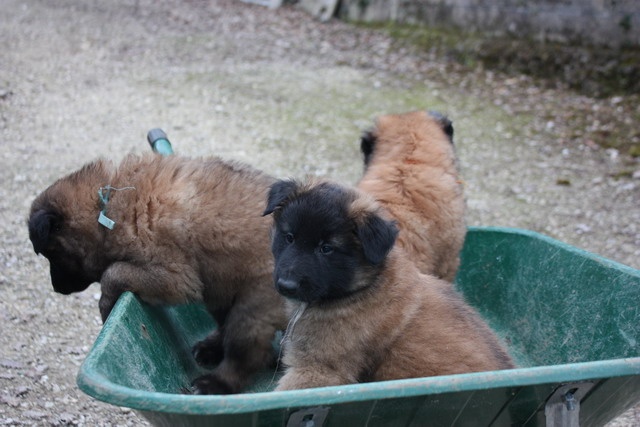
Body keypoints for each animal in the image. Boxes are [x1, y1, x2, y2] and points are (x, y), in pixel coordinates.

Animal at [28, 153, 288, 394]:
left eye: (52, 255)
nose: (56, 288)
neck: (106, 206)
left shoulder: (174, 276)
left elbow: (113, 272)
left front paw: (106, 308)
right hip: (221, 288)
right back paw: (211, 347)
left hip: (254, 305)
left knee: (246, 355)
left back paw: (214, 383)